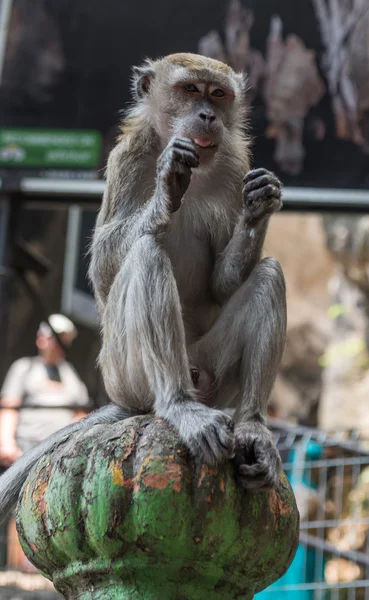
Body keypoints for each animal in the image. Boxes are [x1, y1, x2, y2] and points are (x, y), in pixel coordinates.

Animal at [0, 52, 284, 520]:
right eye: (190, 90)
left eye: (218, 94)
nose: (208, 116)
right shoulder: (127, 157)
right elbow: (104, 266)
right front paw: (166, 188)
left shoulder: (233, 166)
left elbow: (223, 285)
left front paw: (258, 206)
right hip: (124, 371)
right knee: (146, 251)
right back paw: (179, 405)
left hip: (212, 373)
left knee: (269, 275)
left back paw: (253, 427)